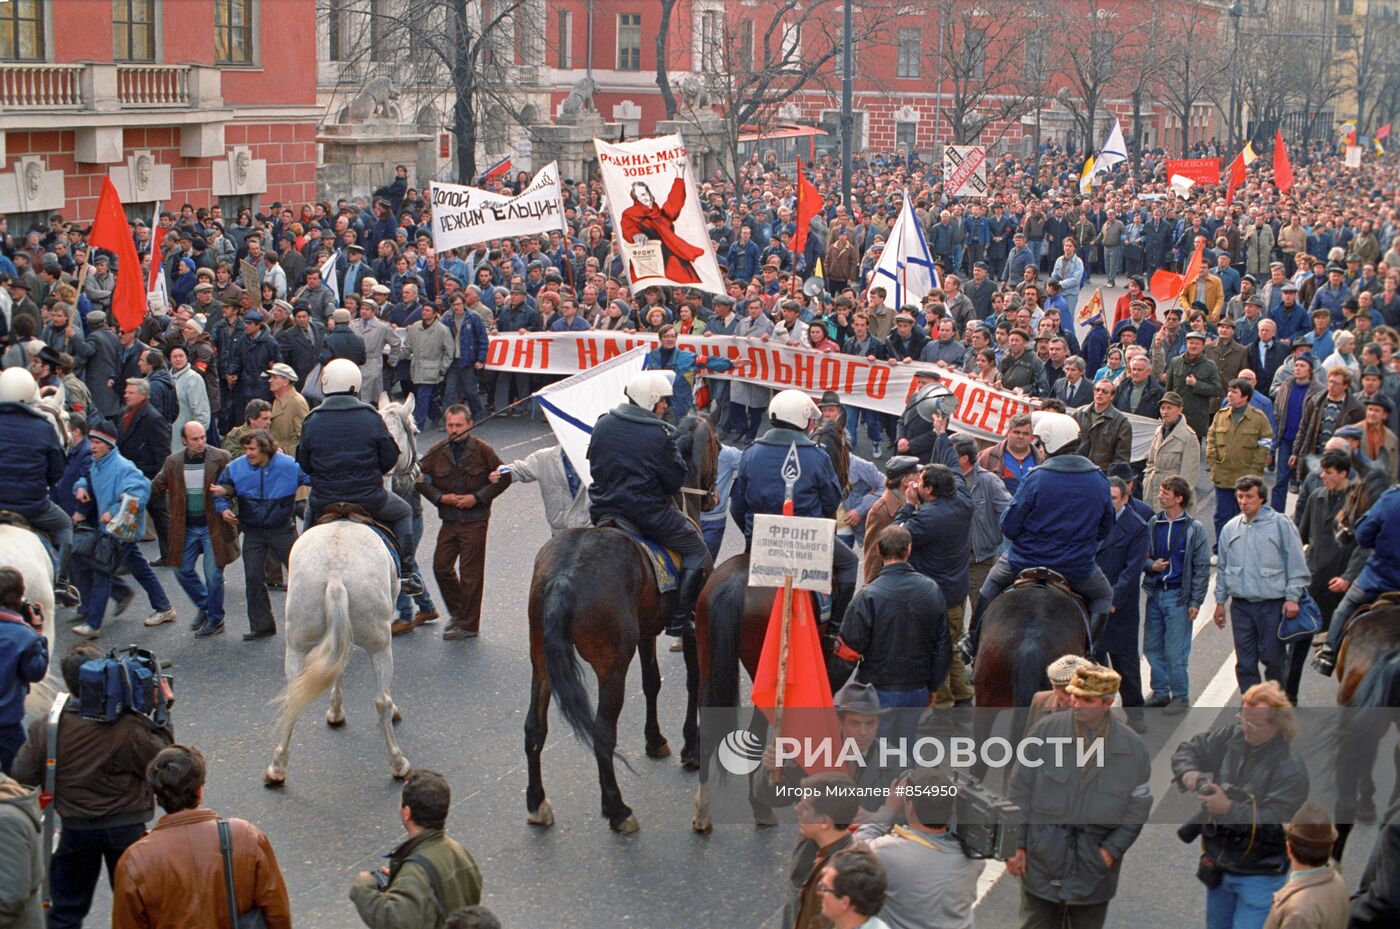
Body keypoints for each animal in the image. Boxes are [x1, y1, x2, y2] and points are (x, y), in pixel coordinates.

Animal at [263, 391, 414, 783]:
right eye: (415, 428)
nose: (413, 475)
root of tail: (334, 573)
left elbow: (337, 667)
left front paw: (335, 711)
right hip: (379, 643)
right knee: (380, 699)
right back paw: (398, 761)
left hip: (298, 640)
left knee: (293, 691)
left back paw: (278, 766)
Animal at [526, 414, 722, 833]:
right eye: (716, 443)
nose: (714, 495)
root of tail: (564, 575)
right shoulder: (692, 629)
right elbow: (693, 682)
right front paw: (690, 746)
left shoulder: (647, 631)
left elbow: (652, 683)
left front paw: (655, 740)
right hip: (611, 665)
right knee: (603, 732)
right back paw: (617, 809)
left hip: (542, 660)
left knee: (534, 727)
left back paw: (537, 803)